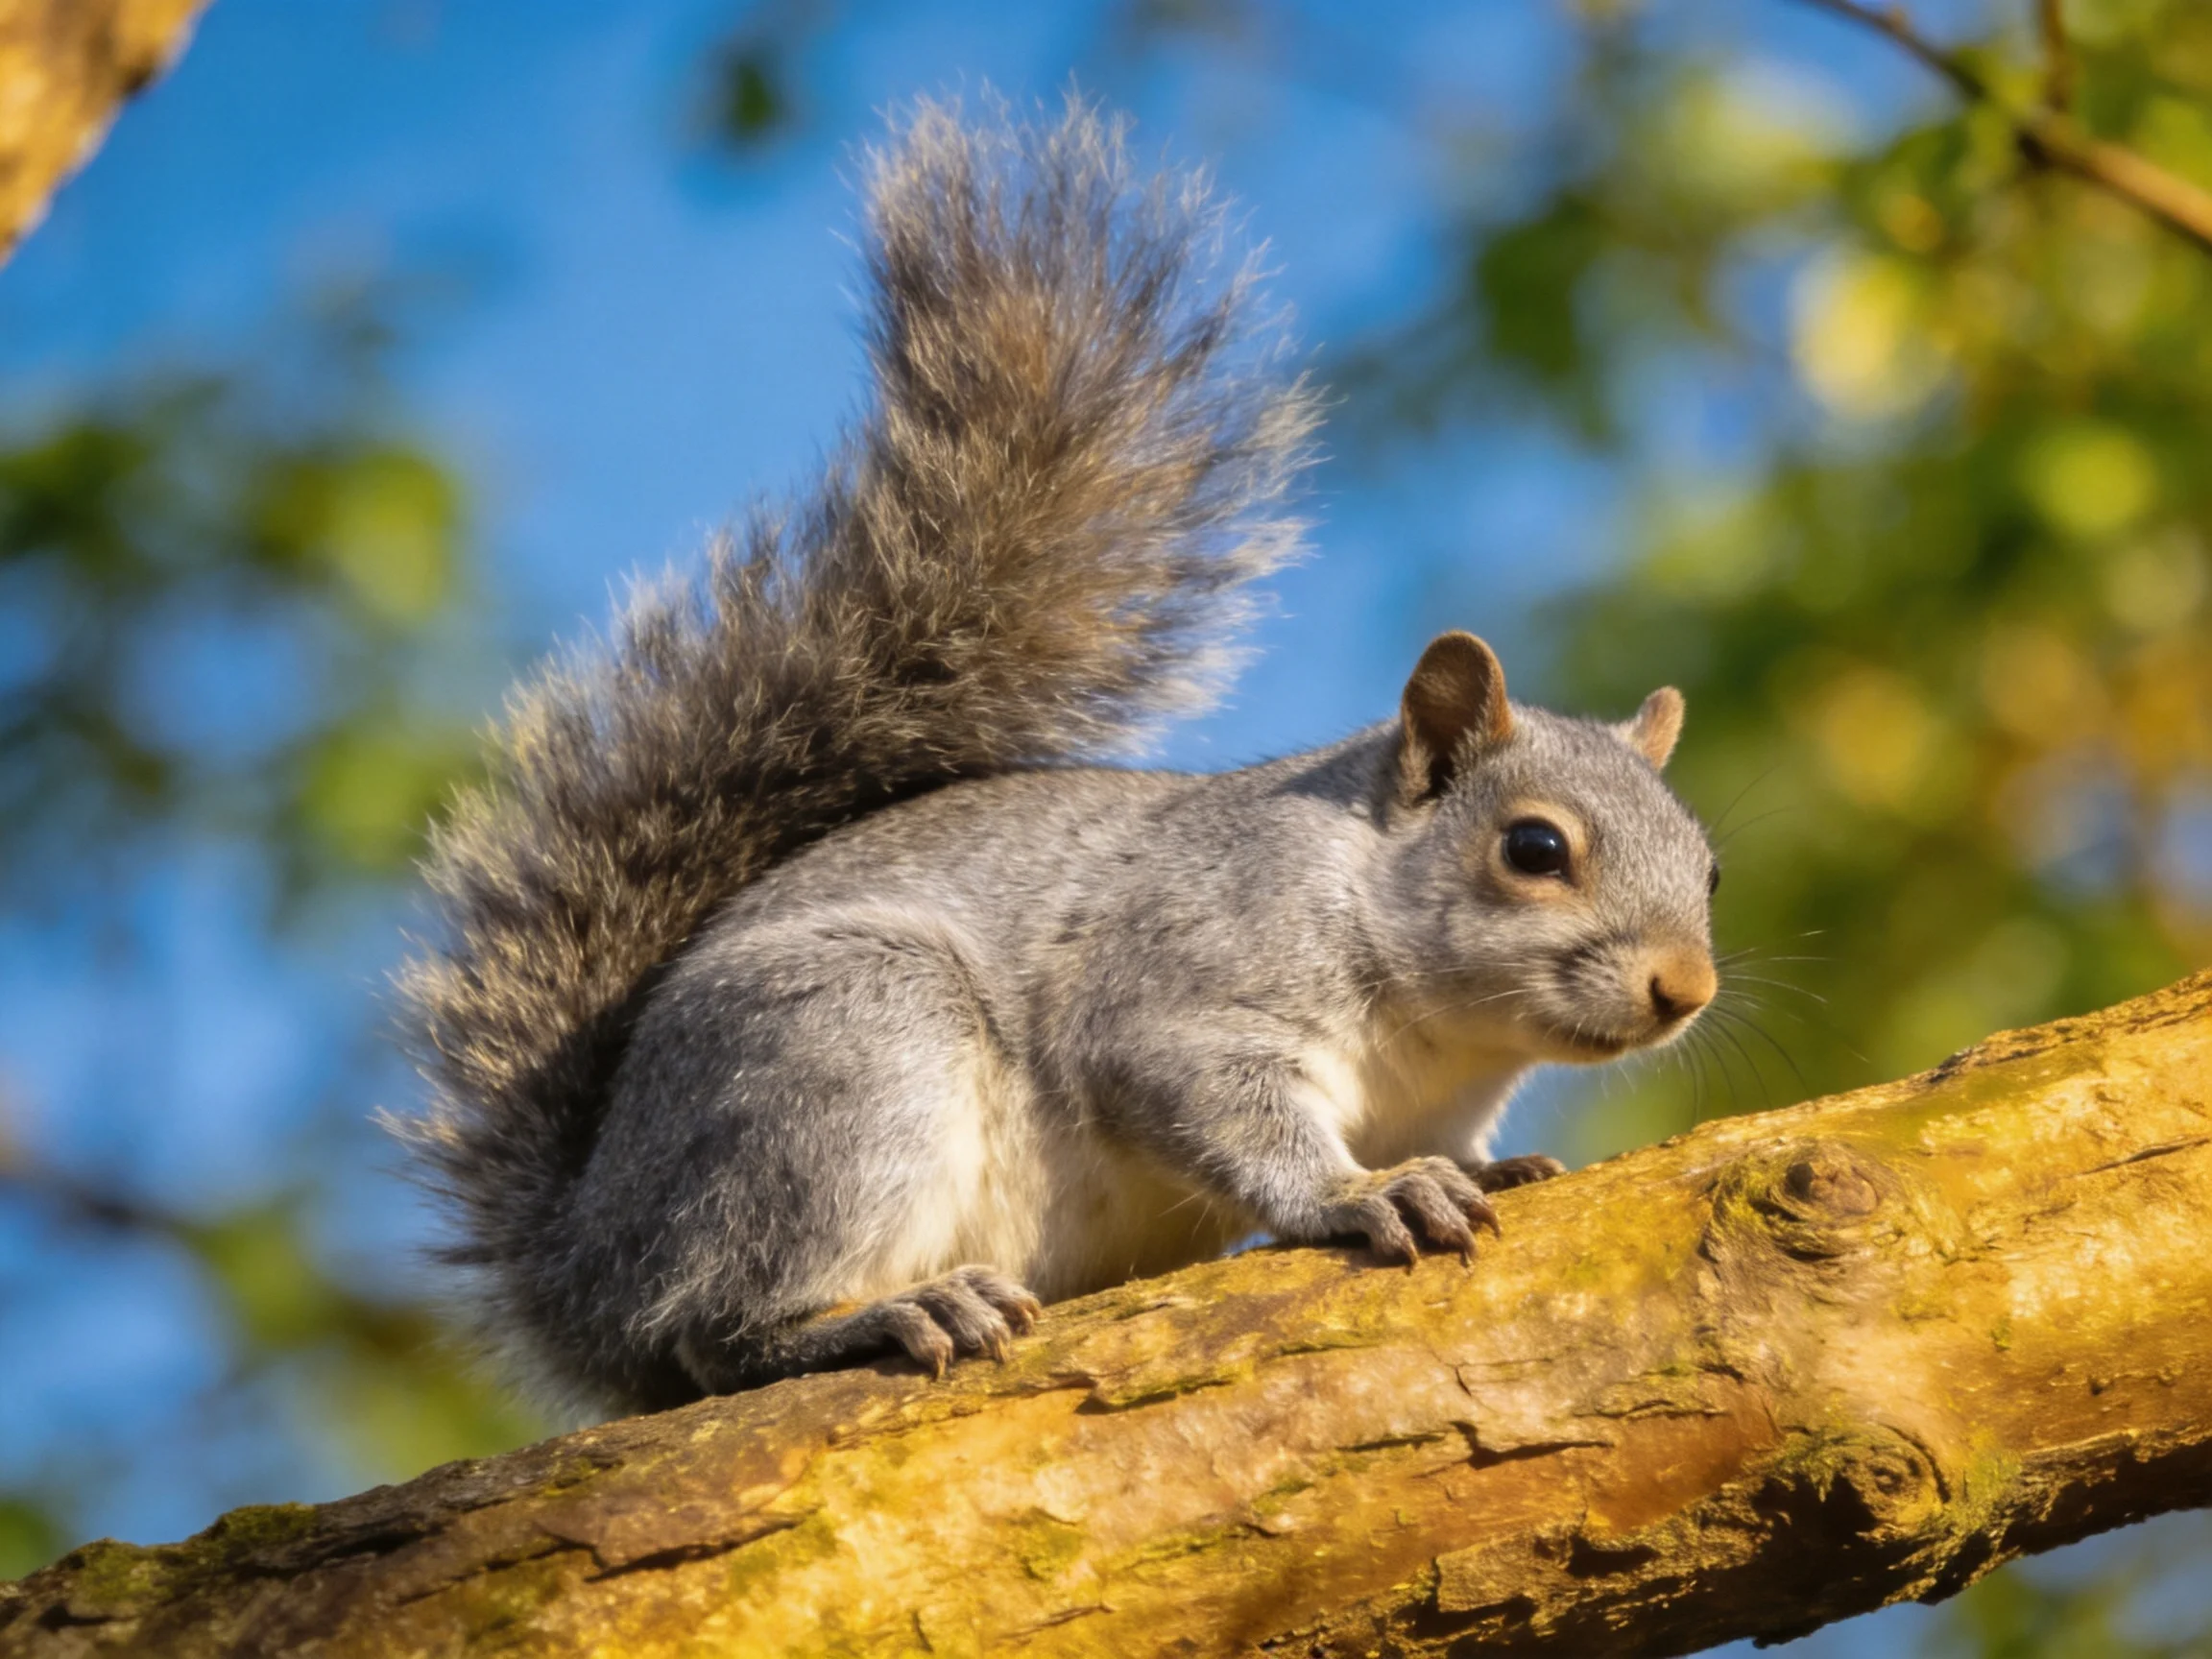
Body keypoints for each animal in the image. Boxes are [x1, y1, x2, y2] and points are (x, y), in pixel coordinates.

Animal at [393, 97, 1720, 1418]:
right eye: (1534, 848)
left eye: (1709, 867)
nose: (1686, 990)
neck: (1436, 1017)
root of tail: (590, 1265)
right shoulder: (1181, 995)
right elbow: (1229, 1112)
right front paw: (1357, 1193)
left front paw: (1483, 1171)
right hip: (844, 1063)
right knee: (714, 1331)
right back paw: (880, 1316)